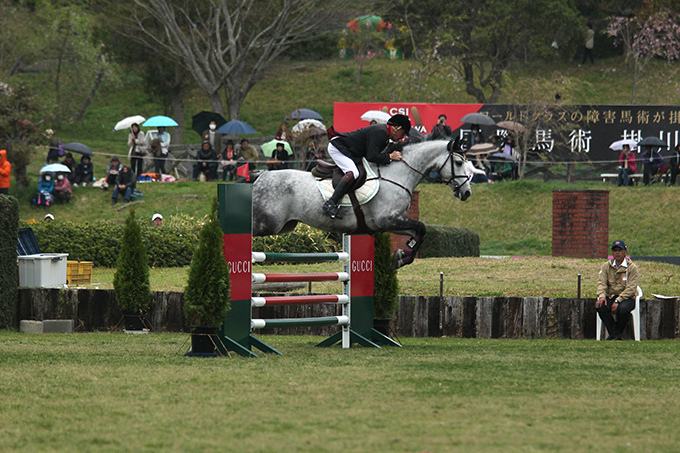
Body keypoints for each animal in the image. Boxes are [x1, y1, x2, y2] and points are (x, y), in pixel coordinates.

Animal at [252, 140, 470, 268]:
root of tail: (259, 177)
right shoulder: (387, 219)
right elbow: (421, 227)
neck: (397, 174)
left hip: (284, 226)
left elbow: (419, 233)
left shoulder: (391, 223)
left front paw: (402, 256)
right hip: (267, 223)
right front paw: (401, 256)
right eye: (459, 163)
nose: (466, 193)